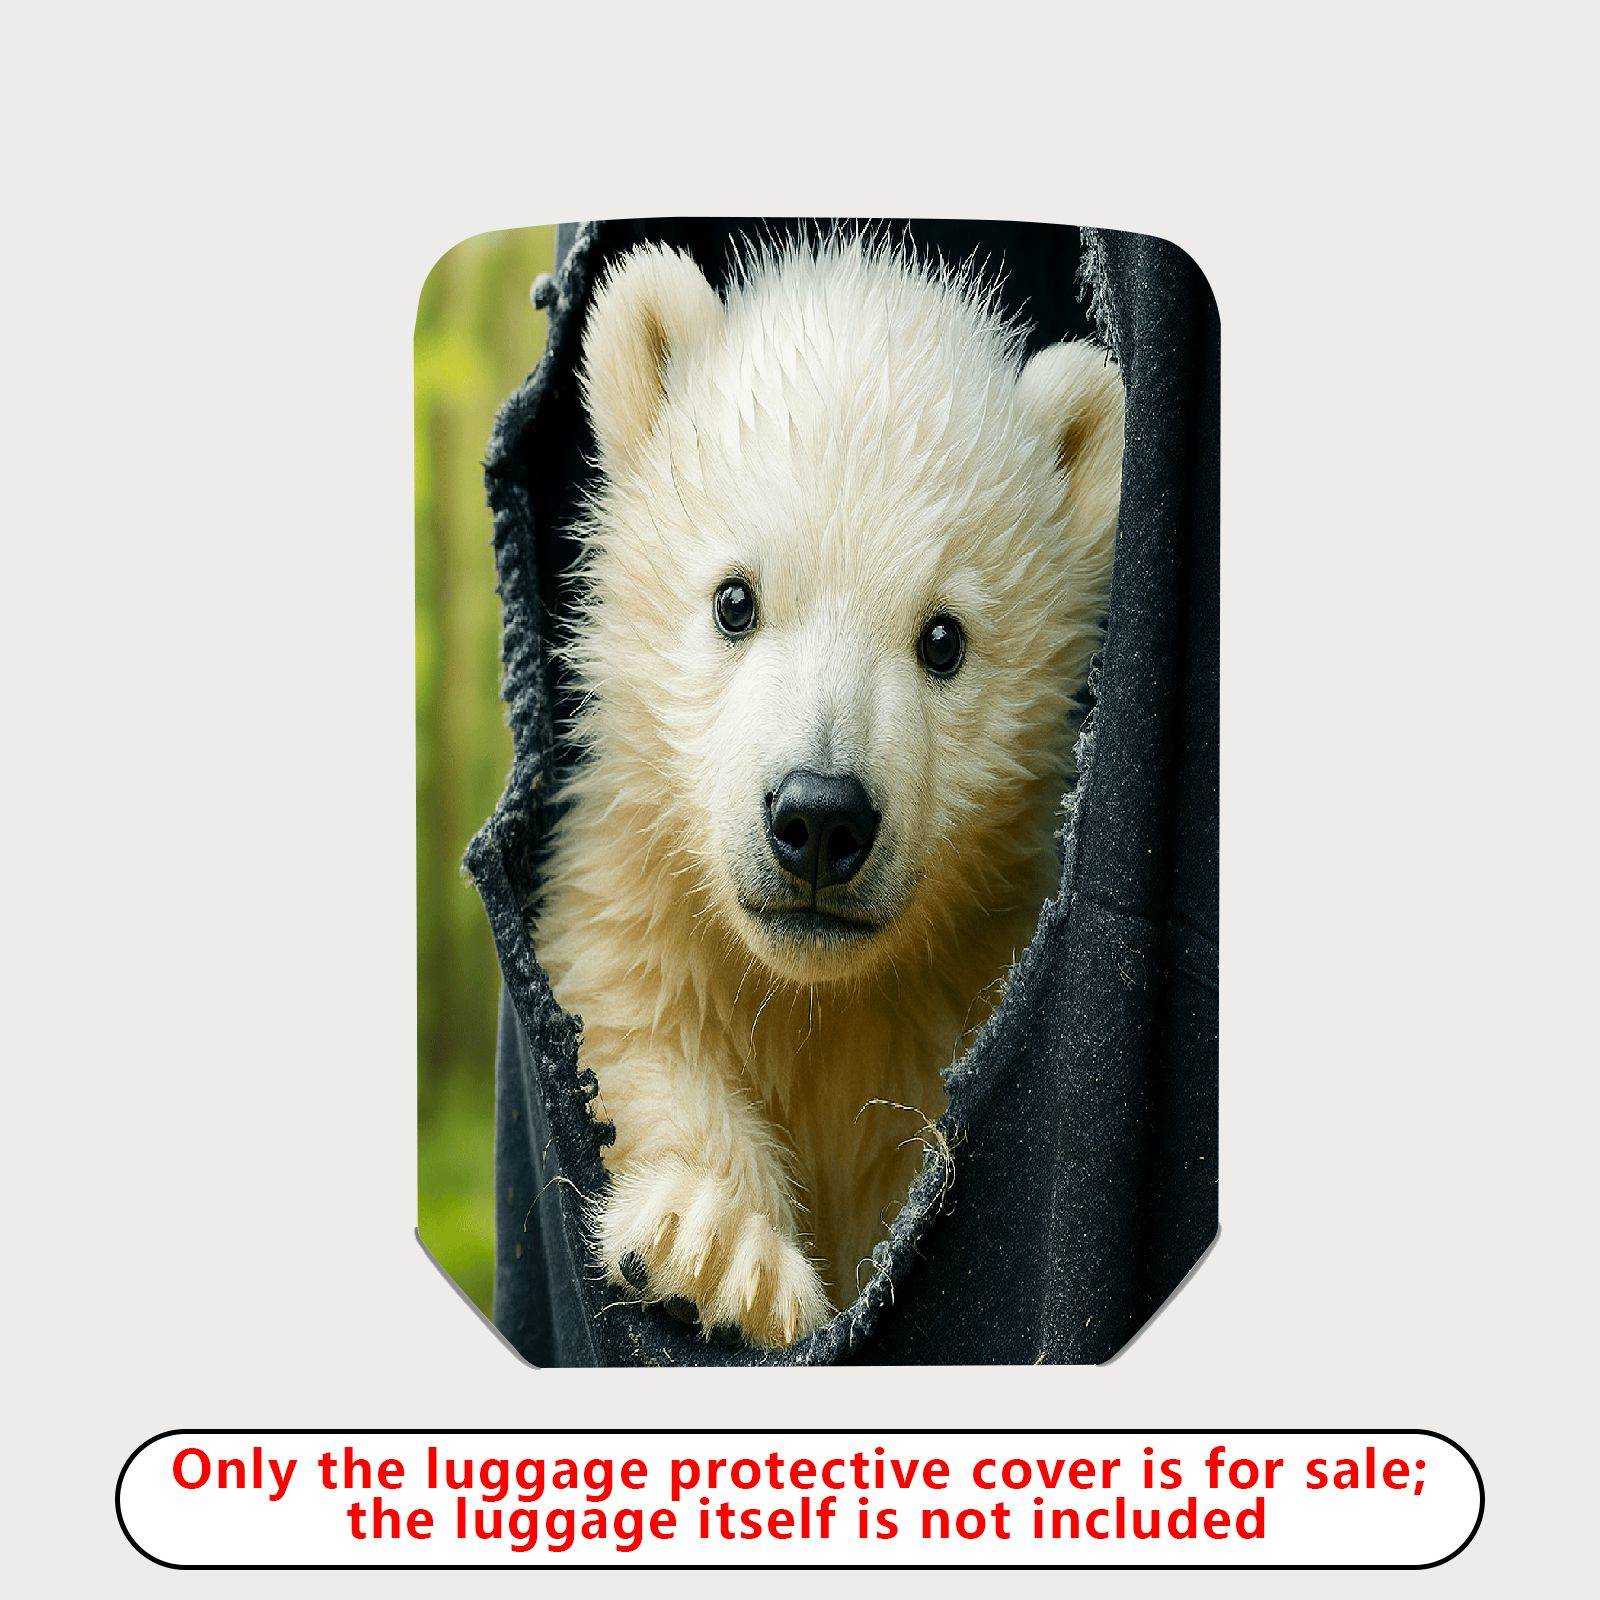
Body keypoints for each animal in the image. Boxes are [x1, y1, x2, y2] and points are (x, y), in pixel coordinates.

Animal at [532, 235, 1125, 1348]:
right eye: (734, 597)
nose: (818, 817)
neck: (815, 1003)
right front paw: (715, 1250)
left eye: (943, 636)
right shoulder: (637, 903)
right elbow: (632, 1028)